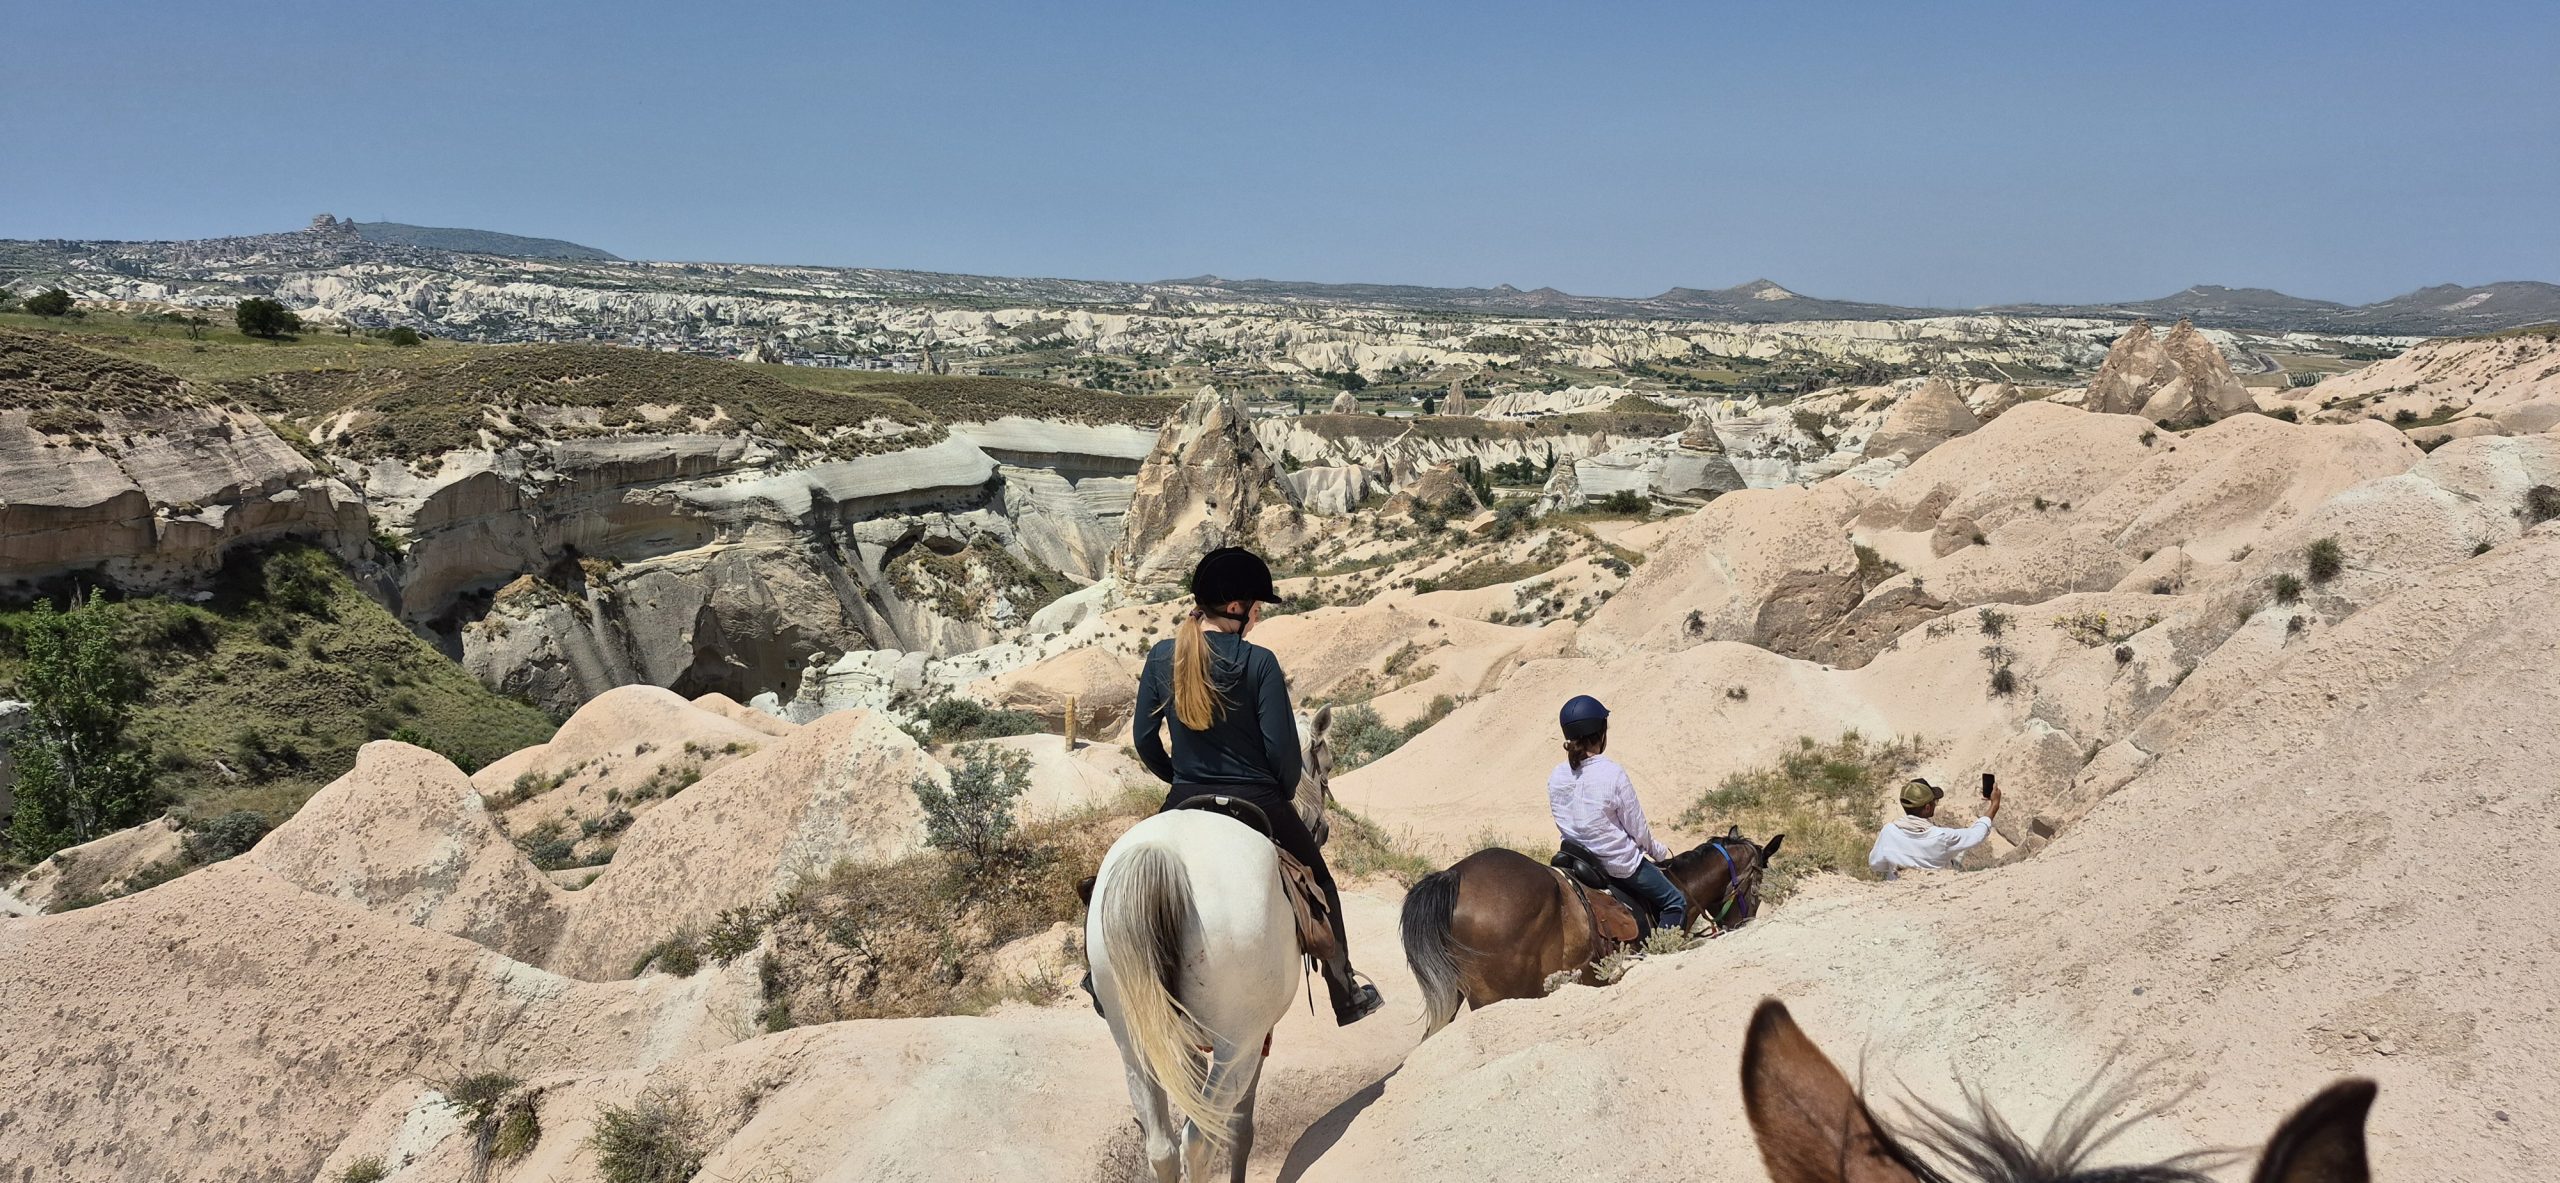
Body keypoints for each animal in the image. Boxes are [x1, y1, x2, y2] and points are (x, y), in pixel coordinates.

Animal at [1085, 705, 1337, 1183]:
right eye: (1327, 768)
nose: (1324, 829)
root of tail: (1160, 853)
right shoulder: (1258, 1039)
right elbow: (1240, 1129)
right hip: (1236, 1048)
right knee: (1199, 1143)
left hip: (1132, 1038)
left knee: (1162, 1146)